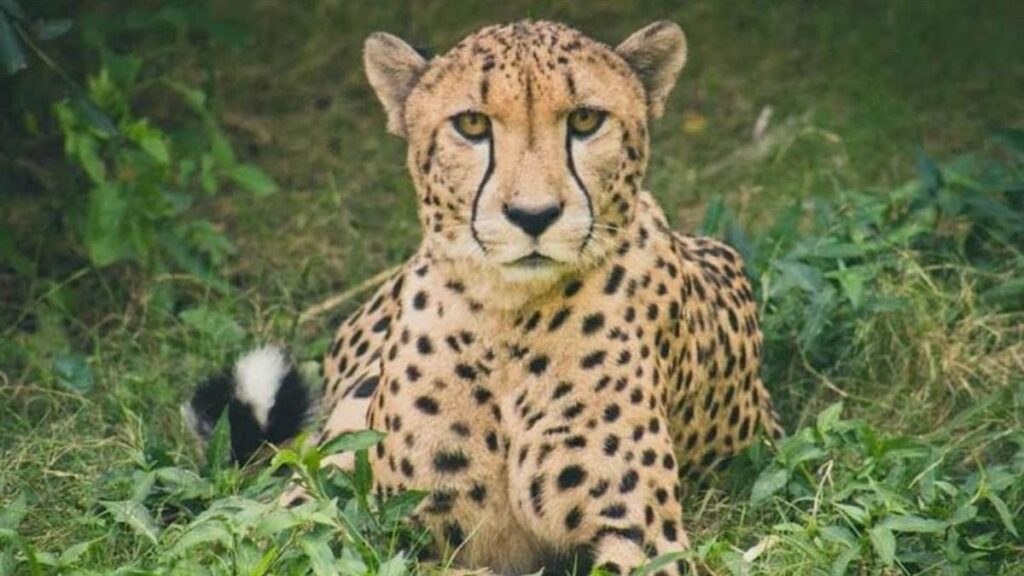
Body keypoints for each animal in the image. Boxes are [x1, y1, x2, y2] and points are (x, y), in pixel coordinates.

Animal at [188, 19, 781, 576]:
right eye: (471, 124)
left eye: (585, 121)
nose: (533, 215)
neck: (508, 319)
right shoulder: (377, 522)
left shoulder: (644, 537)